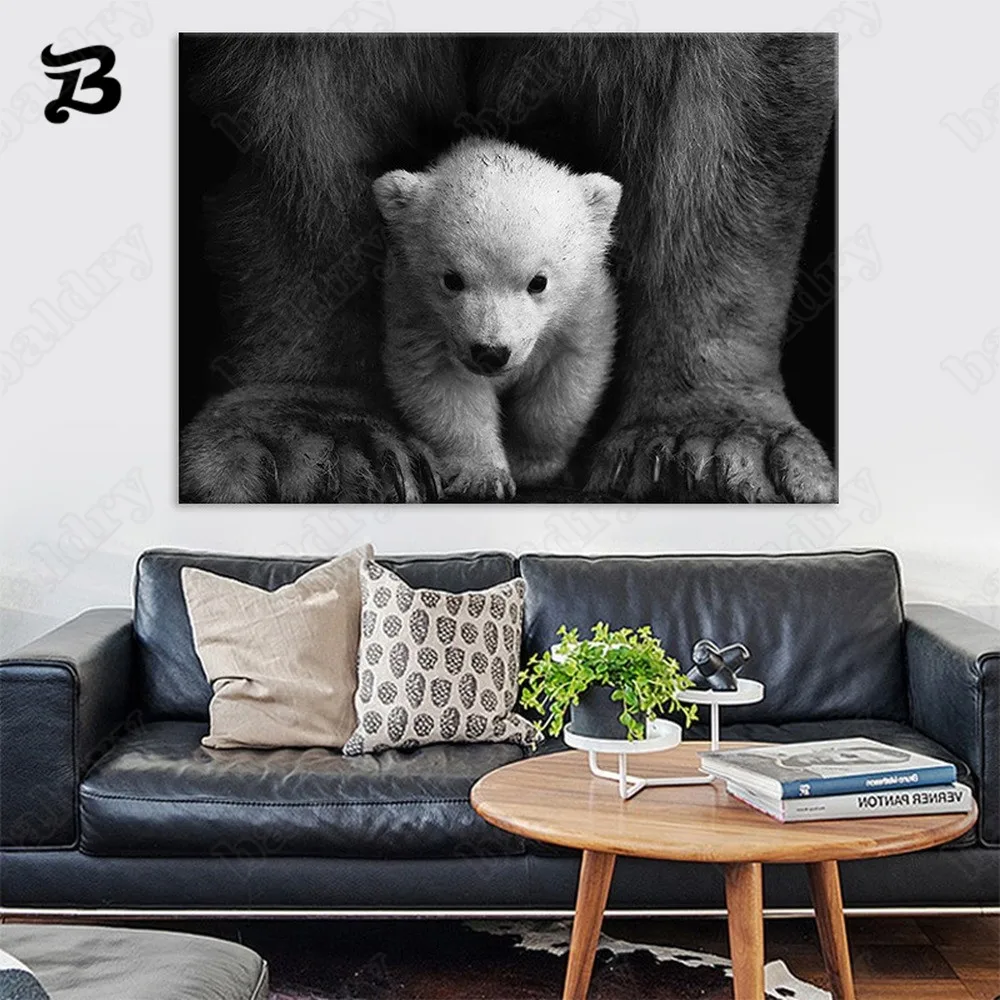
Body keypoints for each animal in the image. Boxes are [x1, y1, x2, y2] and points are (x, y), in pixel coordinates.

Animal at [372, 138, 621, 501]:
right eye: (452, 279)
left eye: (538, 282)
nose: (491, 352)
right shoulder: (418, 315)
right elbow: (444, 387)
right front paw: (484, 476)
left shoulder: (581, 313)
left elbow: (564, 384)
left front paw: (531, 464)